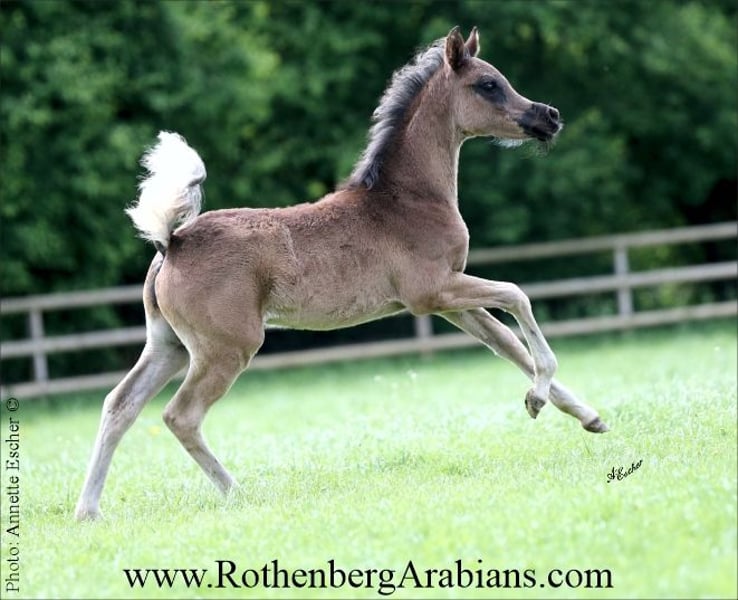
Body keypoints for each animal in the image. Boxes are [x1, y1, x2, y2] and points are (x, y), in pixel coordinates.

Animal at [75, 26, 609, 521]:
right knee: (179, 415)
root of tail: (172, 242)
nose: (548, 117)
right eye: (488, 85)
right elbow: (518, 296)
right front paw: (537, 399)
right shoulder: (433, 292)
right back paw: (237, 491)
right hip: (226, 348)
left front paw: (590, 417)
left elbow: (509, 345)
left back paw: (88, 510)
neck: (408, 199)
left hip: (168, 344)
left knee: (119, 405)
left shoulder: (452, 302)